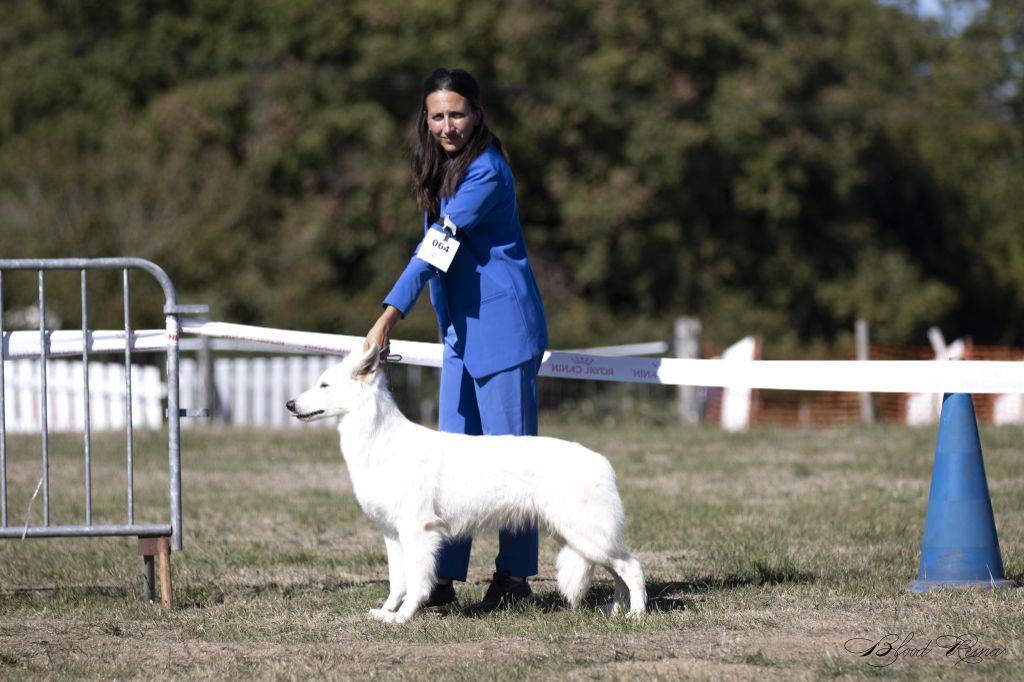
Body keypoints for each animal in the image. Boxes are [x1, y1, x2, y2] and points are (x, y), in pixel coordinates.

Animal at [284, 346, 643, 622]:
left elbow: (416, 582)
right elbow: (397, 582)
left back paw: (635, 615)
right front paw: (387, 612)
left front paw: (403, 617)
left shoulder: (418, 533)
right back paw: (615, 610)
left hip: (586, 535)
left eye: (324, 384)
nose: (289, 405)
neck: (381, 442)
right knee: (618, 573)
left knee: (633, 568)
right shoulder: (393, 535)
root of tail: (603, 463)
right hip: (580, 537)